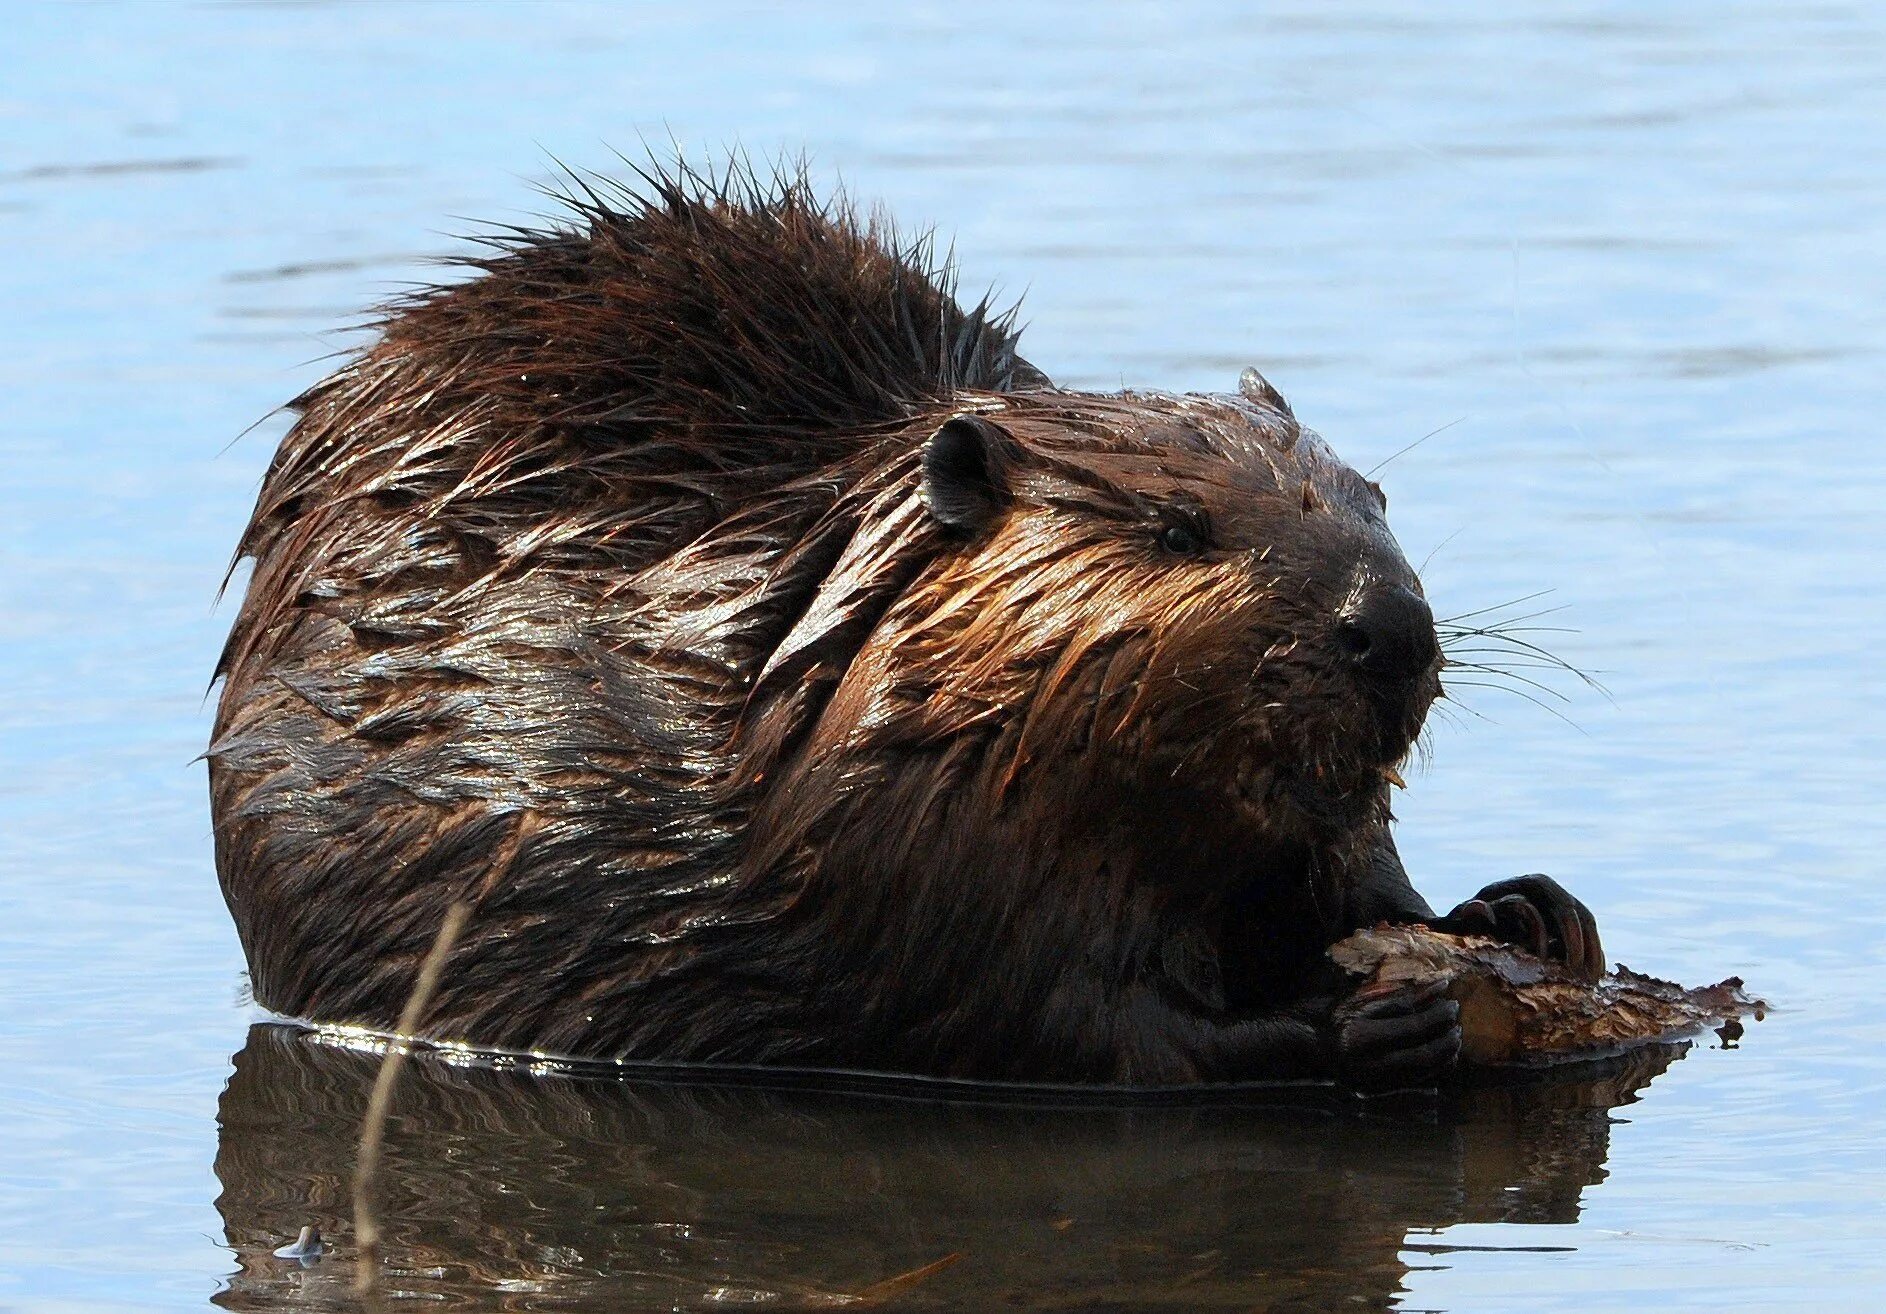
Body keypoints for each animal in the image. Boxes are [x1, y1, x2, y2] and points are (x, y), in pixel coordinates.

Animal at [216, 164, 1606, 1085]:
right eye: (1174, 527)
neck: (799, 655)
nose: (1389, 633)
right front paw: (1360, 1021)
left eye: (1374, 494)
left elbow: (1354, 872)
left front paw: (1517, 912)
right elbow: (1083, 1021)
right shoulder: (909, 839)